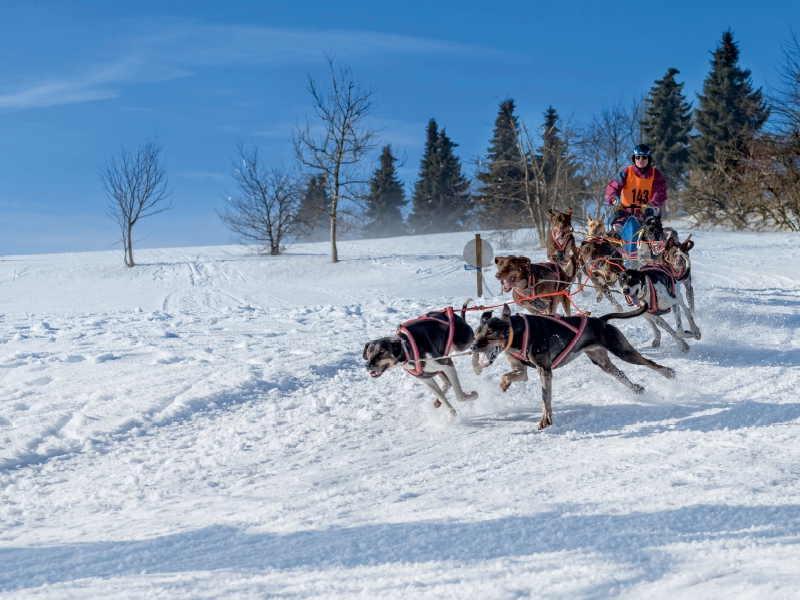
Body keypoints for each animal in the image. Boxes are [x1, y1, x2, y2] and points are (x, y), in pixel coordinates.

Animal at [472, 308, 672, 428]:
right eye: (476, 332)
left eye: (490, 333)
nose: (473, 346)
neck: (518, 332)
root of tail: (600, 320)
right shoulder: (521, 370)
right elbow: (508, 376)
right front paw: (504, 385)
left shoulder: (544, 370)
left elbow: (545, 398)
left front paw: (546, 419)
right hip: (602, 362)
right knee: (620, 373)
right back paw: (638, 388)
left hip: (623, 351)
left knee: (649, 362)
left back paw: (669, 373)